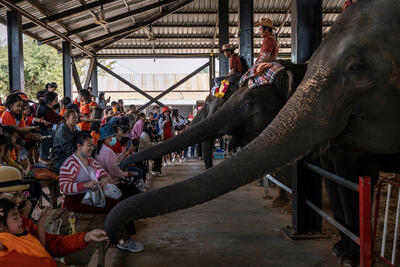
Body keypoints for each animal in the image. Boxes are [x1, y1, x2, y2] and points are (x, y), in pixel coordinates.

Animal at [105, 0, 400, 266]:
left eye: (247, 105)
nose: (126, 164)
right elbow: (331, 177)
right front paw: (339, 250)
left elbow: (352, 176)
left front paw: (347, 257)